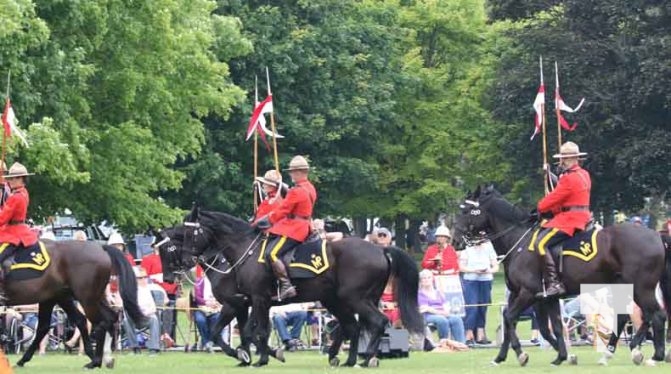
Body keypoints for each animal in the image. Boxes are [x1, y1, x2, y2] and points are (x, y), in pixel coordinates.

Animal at [155, 228, 284, 366]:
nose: (167, 279)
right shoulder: (243, 308)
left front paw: (241, 354)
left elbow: (229, 332)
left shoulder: (233, 305)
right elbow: (243, 332)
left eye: (165, 249)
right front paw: (246, 357)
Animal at [168, 207, 422, 368]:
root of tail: (380, 248)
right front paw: (253, 356)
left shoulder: (255, 299)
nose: (185, 262)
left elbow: (255, 331)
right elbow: (251, 331)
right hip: (341, 299)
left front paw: (256, 358)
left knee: (377, 322)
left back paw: (367, 357)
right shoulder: (251, 302)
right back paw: (347, 359)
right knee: (353, 325)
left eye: (190, 233)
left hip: (354, 298)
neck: (244, 251)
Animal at [452, 186, 671, 366]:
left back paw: (654, 356)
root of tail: (655, 234)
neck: (519, 243)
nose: (455, 241)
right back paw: (617, 352)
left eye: (466, 211)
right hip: (626, 288)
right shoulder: (538, 297)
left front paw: (522, 354)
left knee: (656, 315)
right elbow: (547, 327)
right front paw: (561, 355)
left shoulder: (528, 294)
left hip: (641, 288)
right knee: (633, 316)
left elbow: (512, 317)